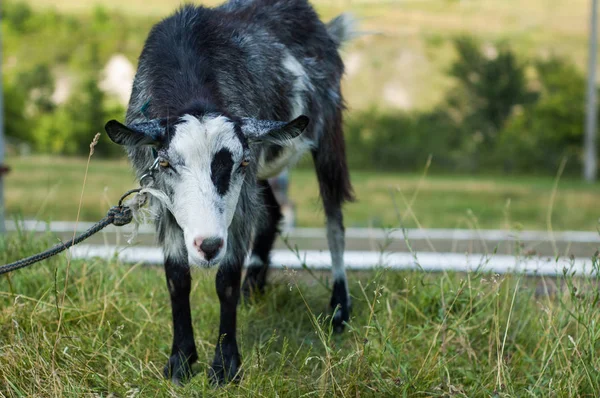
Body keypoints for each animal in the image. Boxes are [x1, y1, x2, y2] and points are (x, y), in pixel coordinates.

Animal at [105, 0, 354, 386]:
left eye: (240, 162)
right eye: (165, 163)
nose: (208, 246)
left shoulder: (241, 195)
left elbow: (225, 280)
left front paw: (225, 366)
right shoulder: (164, 203)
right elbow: (176, 278)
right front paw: (180, 361)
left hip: (328, 131)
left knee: (333, 218)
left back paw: (340, 308)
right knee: (274, 212)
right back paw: (256, 285)